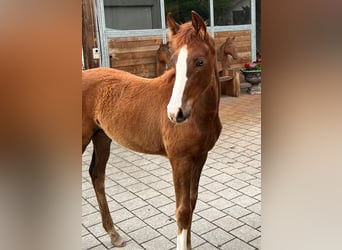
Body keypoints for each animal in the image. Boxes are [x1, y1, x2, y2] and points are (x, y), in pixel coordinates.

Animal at [83, 10, 222, 249]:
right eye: (173, 62)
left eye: (200, 61)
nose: (175, 113)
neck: (199, 116)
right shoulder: (180, 160)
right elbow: (182, 211)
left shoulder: (200, 157)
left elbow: (192, 204)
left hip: (101, 137)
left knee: (97, 175)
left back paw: (113, 234)